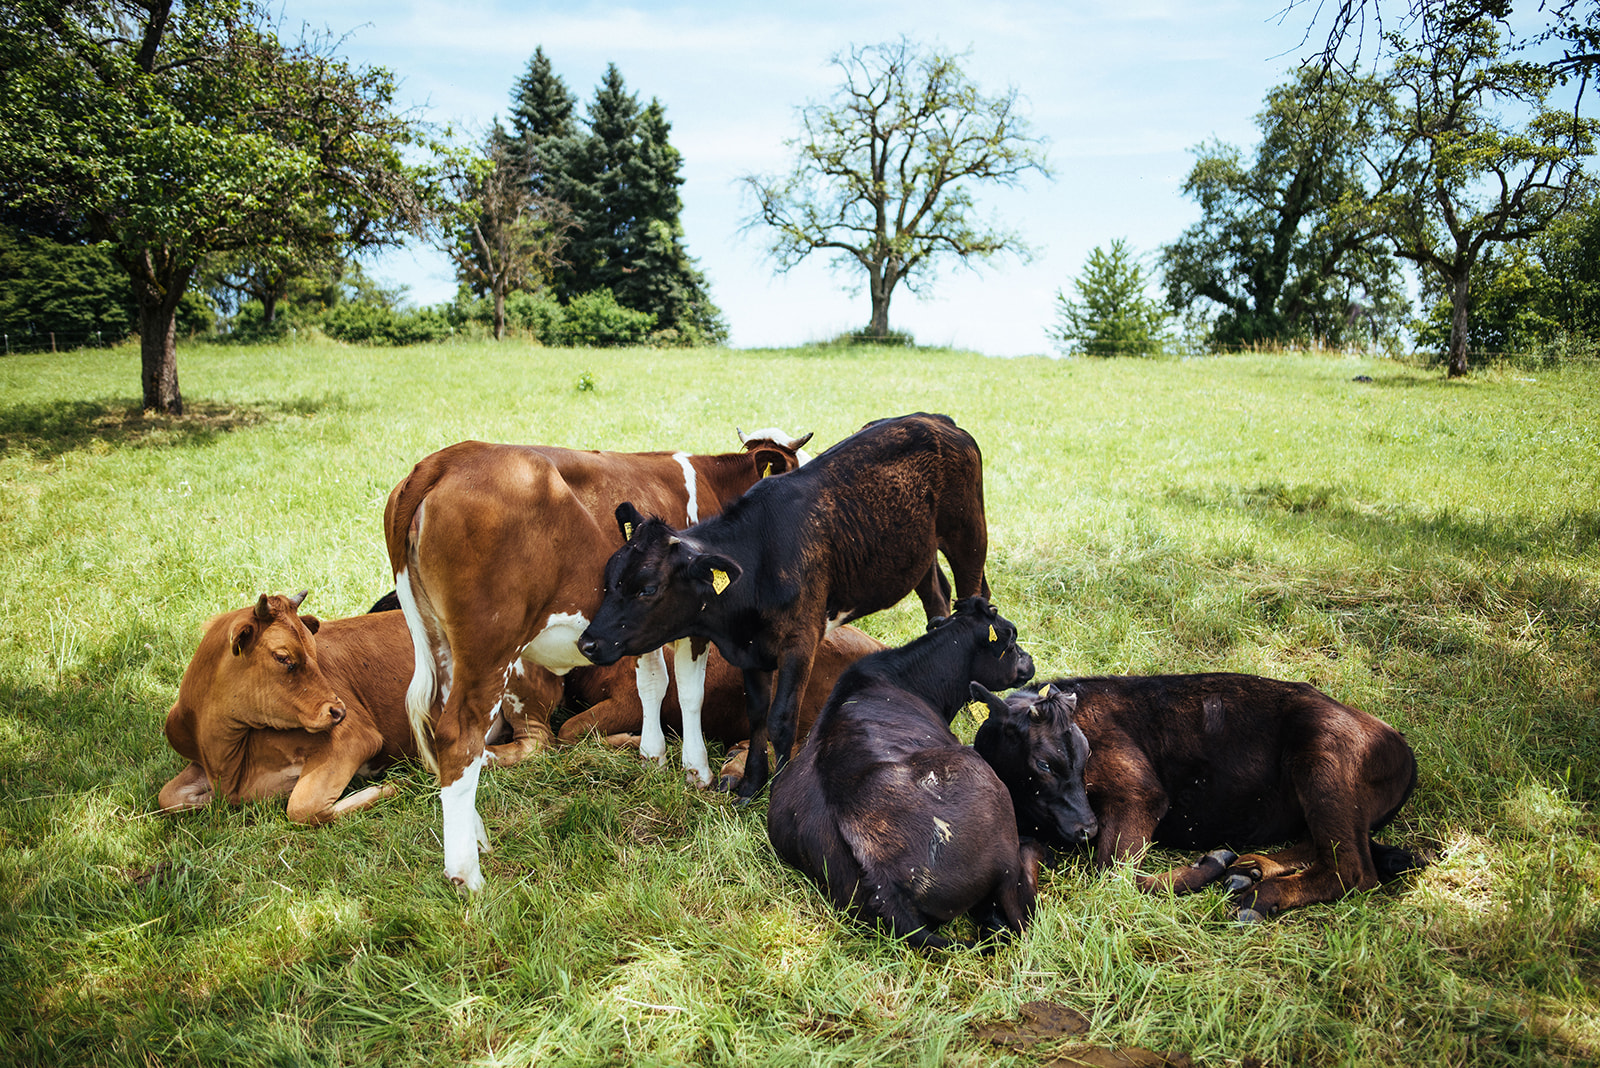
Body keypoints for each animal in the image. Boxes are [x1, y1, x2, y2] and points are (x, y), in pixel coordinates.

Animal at [156, 591, 547, 824]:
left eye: (314, 651)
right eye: (283, 657)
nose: (337, 711)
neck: (228, 761)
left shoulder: (354, 736)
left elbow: (301, 807)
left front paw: (385, 789)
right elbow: (168, 796)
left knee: (535, 743)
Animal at [384, 428, 812, 888]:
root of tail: (446, 459)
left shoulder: (640, 627)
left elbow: (652, 684)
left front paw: (653, 758)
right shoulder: (695, 622)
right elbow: (688, 692)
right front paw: (696, 770)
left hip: (441, 644)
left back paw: (476, 838)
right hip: (489, 647)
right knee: (459, 736)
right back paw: (466, 872)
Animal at [582, 412, 992, 796]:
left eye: (647, 589)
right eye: (610, 577)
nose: (588, 643)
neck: (760, 556)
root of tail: (933, 419)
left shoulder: (801, 642)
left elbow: (781, 720)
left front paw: (776, 790)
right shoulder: (750, 650)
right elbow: (757, 714)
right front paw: (751, 785)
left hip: (969, 536)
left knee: (974, 600)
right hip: (917, 553)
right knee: (937, 600)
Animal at [972, 674, 1427, 920]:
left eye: (1086, 754)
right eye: (1044, 764)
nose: (1086, 828)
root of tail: (1397, 741)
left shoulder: (1139, 792)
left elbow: (1112, 873)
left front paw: (1207, 865)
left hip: (1322, 763)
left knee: (1352, 869)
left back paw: (1257, 895)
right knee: (1325, 846)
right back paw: (1252, 868)